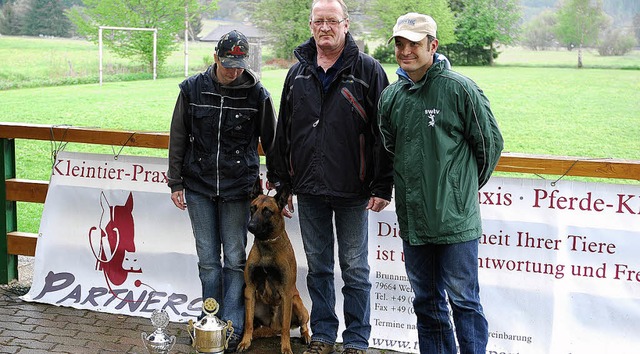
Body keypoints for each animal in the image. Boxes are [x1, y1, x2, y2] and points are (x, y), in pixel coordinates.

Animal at [239, 192, 312, 352]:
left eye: (267, 211)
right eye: (252, 208)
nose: (250, 226)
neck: (267, 244)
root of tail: (274, 327)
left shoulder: (286, 293)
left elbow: (286, 328)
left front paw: (286, 348)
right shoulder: (250, 289)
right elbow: (248, 322)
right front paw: (245, 342)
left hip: (296, 303)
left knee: (301, 324)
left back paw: (306, 336)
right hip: (255, 302)